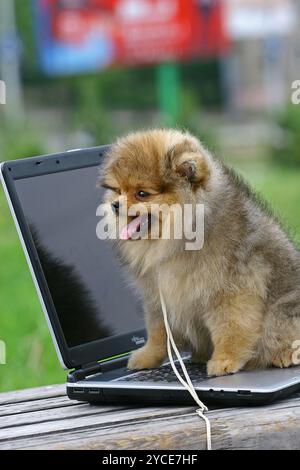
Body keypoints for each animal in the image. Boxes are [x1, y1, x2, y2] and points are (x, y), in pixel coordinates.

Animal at [99, 129, 300, 378]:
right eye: (118, 191)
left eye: (142, 193)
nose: (115, 205)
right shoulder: (159, 295)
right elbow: (158, 331)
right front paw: (147, 356)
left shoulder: (232, 290)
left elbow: (231, 327)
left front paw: (224, 359)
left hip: (282, 312)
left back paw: (285, 354)